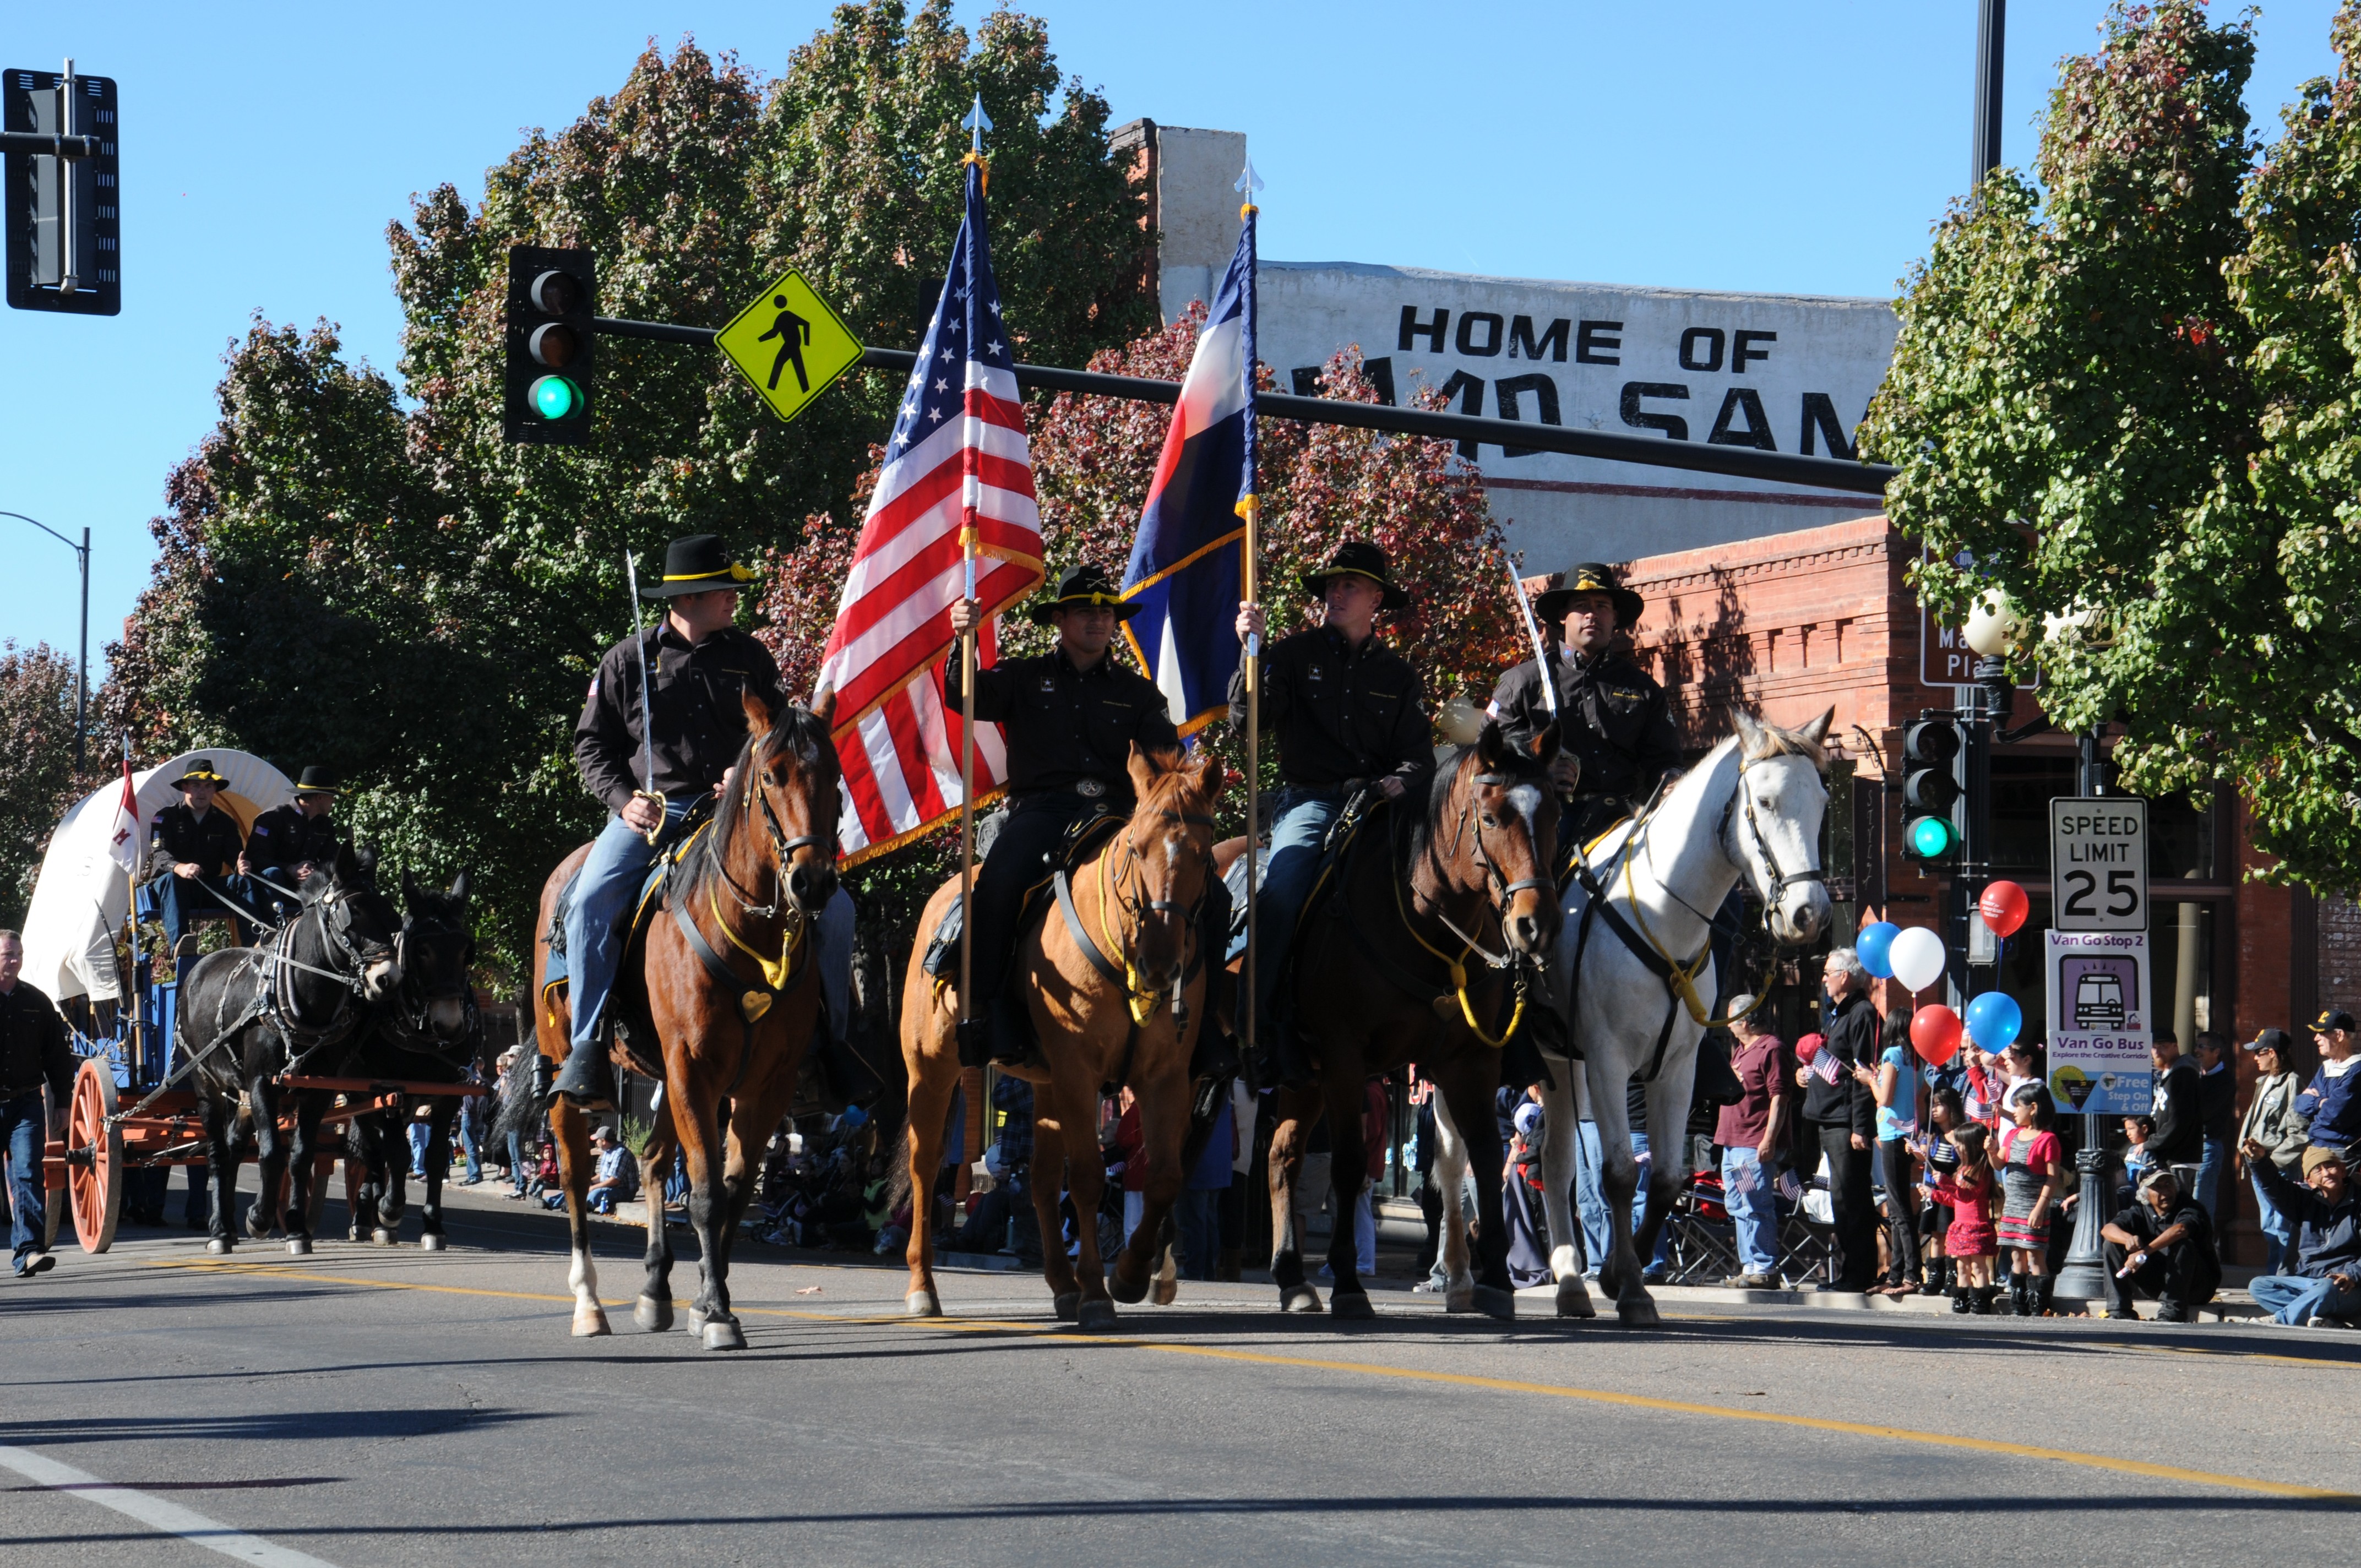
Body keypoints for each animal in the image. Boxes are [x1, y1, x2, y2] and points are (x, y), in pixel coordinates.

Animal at [172, 840, 401, 1256]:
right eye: (353, 915)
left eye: (389, 914)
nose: (388, 978)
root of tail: (196, 968)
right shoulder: (263, 1082)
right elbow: (271, 1153)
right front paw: (260, 1219)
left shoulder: (317, 1089)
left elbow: (299, 1156)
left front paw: (295, 1229)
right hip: (205, 1081)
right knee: (216, 1152)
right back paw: (219, 1230)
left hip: (242, 1092)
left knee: (234, 1149)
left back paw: (229, 1225)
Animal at [531, 684, 845, 1351]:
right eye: (772, 775)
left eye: (833, 774)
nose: (812, 882)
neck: (749, 935)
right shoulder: (692, 1068)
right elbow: (703, 1196)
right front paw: (719, 1313)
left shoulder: (762, 1084)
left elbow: (732, 1192)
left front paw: (708, 1300)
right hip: (571, 1066)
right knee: (574, 1172)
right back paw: (588, 1303)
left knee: (651, 1162)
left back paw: (655, 1290)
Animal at [897, 741, 1227, 1332]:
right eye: (1137, 848)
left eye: (1204, 855)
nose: (1161, 966)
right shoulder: (1079, 1072)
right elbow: (1091, 1179)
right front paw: (1098, 1292)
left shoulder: (1166, 1077)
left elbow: (1163, 1177)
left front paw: (1131, 1275)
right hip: (931, 1069)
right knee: (925, 1165)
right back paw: (923, 1287)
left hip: (1044, 1084)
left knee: (1041, 1180)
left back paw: (1061, 1285)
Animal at [1265, 722, 1558, 1322]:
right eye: (1491, 817)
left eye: (1555, 814)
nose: (1535, 925)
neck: (1426, 922)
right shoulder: (1344, 1055)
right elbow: (1350, 1163)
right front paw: (1349, 1284)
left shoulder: (1470, 1061)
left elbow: (1485, 1157)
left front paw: (1495, 1282)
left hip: (1302, 1074)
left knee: (1282, 1157)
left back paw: (1292, 1278)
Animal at [1520, 708, 1832, 1322]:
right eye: (1764, 802)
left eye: (1824, 802)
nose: (1809, 914)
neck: (1665, 916)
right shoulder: (1609, 1061)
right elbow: (1620, 1174)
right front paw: (1628, 1285)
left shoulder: (1677, 1067)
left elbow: (1665, 1180)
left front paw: (1625, 1273)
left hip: (1561, 1063)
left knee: (1557, 1163)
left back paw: (1570, 1285)